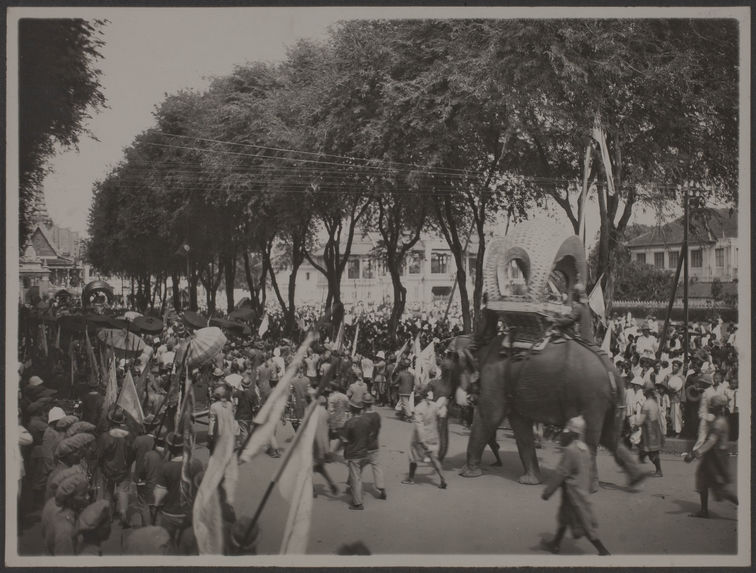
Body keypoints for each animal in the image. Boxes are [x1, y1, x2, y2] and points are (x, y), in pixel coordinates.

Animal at [452, 336, 648, 492]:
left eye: (447, 366)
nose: (467, 401)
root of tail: (609, 368)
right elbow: (520, 426)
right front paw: (530, 482)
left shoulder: (495, 377)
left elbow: (489, 416)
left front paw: (467, 474)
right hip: (609, 401)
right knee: (610, 438)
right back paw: (637, 479)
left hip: (591, 398)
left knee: (592, 440)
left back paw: (588, 487)